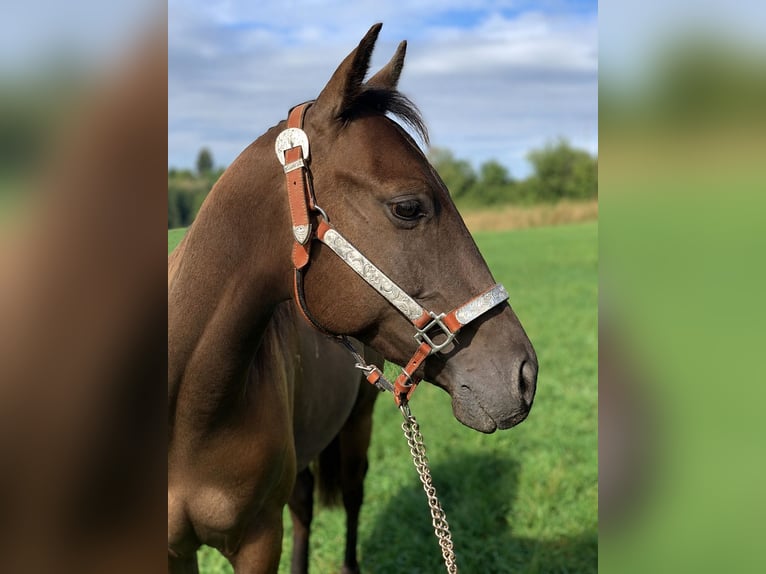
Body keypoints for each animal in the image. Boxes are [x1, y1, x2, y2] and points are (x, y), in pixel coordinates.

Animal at [168, 23, 538, 573]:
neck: (189, 412)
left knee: (350, 493)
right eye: (408, 207)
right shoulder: (177, 549)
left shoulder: (258, 539)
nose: (524, 375)